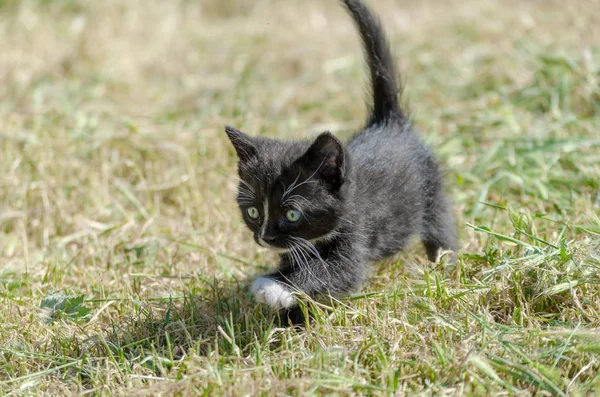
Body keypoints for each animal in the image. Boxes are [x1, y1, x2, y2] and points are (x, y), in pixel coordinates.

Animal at [224, 0, 454, 310]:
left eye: (293, 214)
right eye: (252, 212)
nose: (266, 238)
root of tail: (389, 122)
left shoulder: (356, 233)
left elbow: (339, 270)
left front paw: (275, 287)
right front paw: (288, 311)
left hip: (431, 191)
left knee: (441, 227)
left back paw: (446, 265)